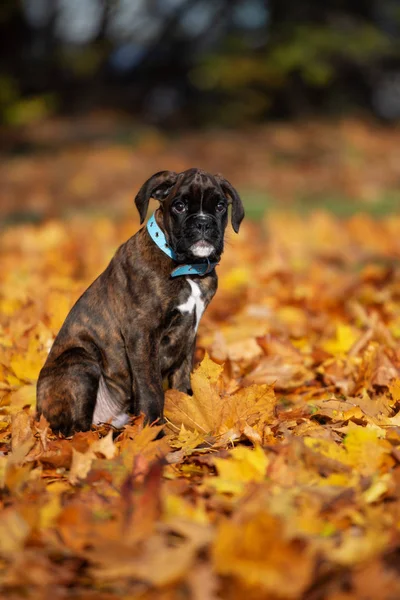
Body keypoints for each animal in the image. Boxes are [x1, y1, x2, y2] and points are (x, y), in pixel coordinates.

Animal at [36, 169, 244, 436]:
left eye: (219, 206)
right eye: (179, 206)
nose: (203, 222)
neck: (186, 269)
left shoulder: (188, 337)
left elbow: (181, 383)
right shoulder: (141, 336)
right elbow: (151, 389)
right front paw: (154, 432)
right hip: (81, 363)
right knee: (73, 430)